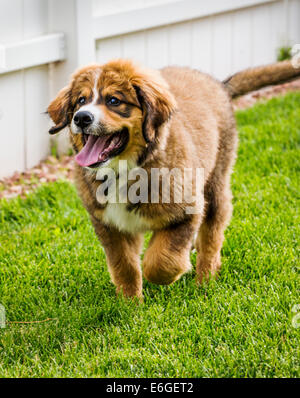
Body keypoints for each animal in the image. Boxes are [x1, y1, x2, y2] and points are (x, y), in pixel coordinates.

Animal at [47, 58, 300, 296]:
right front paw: (130, 303)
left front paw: (169, 275)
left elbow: (159, 261)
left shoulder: (187, 208)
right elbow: (124, 265)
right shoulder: (109, 224)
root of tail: (218, 84)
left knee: (212, 236)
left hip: (215, 184)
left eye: (113, 101)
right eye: (81, 101)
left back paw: (205, 280)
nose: (81, 118)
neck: (124, 170)